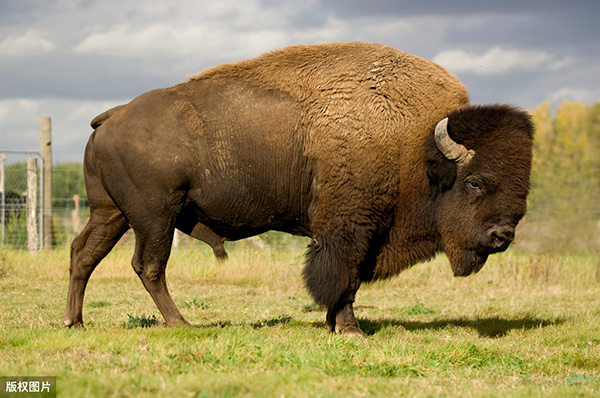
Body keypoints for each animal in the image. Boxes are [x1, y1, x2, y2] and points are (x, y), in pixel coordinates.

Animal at [64, 42, 536, 334]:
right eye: (474, 182)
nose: (503, 236)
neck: (415, 145)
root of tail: (112, 115)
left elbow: (348, 281)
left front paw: (336, 325)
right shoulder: (348, 230)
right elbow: (342, 278)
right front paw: (350, 329)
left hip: (111, 213)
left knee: (84, 253)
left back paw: (75, 322)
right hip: (154, 216)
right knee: (148, 266)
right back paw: (180, 324)